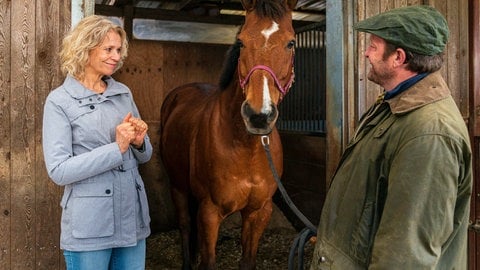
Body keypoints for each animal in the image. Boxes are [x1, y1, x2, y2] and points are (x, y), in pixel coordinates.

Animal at [160, 1, 296, 268]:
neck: (247, 148)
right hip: (177, 186)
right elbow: (209, 261)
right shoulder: (210, 212)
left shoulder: (259, 212)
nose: (258, 115)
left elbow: (248, 260)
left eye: (291, 43)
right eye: (241, 42)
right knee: (185, 225)